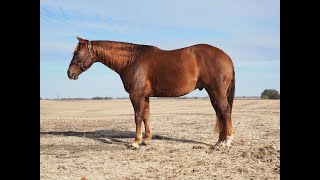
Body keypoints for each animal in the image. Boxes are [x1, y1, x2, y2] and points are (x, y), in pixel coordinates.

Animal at [67, 36, 235, 149]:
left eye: (76, 53)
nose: (69, 73)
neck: (132, 60)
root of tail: (226, 57)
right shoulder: (145, 96)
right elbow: (146, 116)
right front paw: (146, 140)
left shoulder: (136, 95)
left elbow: (138, 117)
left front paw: (135, 142)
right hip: (212, 93)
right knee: (219, 113)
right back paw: (219, 142)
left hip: (217, 91)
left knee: (225, 111)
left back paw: (227, 141)